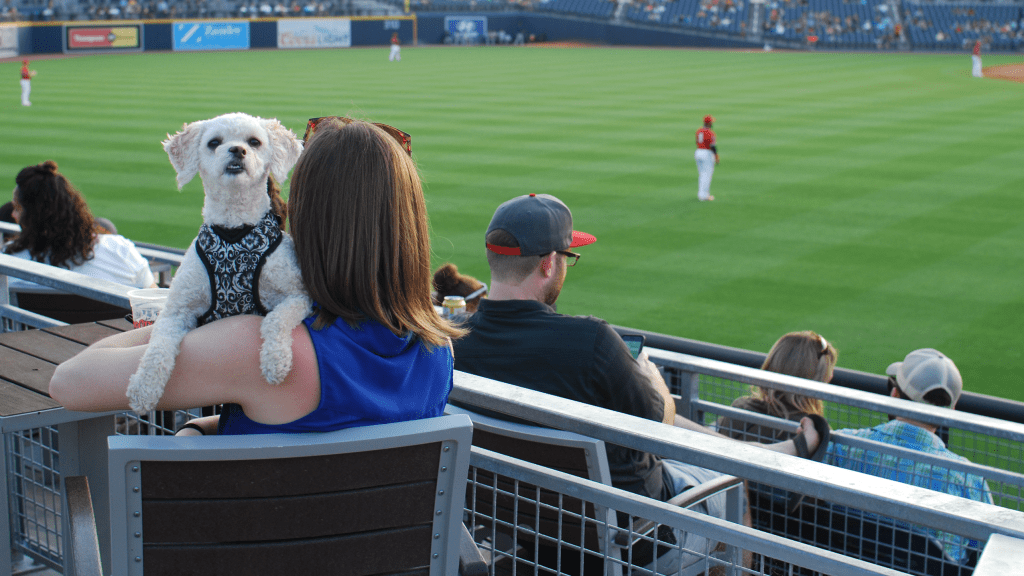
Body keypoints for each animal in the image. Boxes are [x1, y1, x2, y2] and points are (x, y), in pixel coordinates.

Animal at [125, 112, 307, 409]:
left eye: (254, 142)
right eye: (214, 142)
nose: (237, 150)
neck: (233, 230)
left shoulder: (298, 296)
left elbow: (275, 319)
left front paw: (275, 361)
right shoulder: (176, 310)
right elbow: (157, 346)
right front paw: (143, 388)